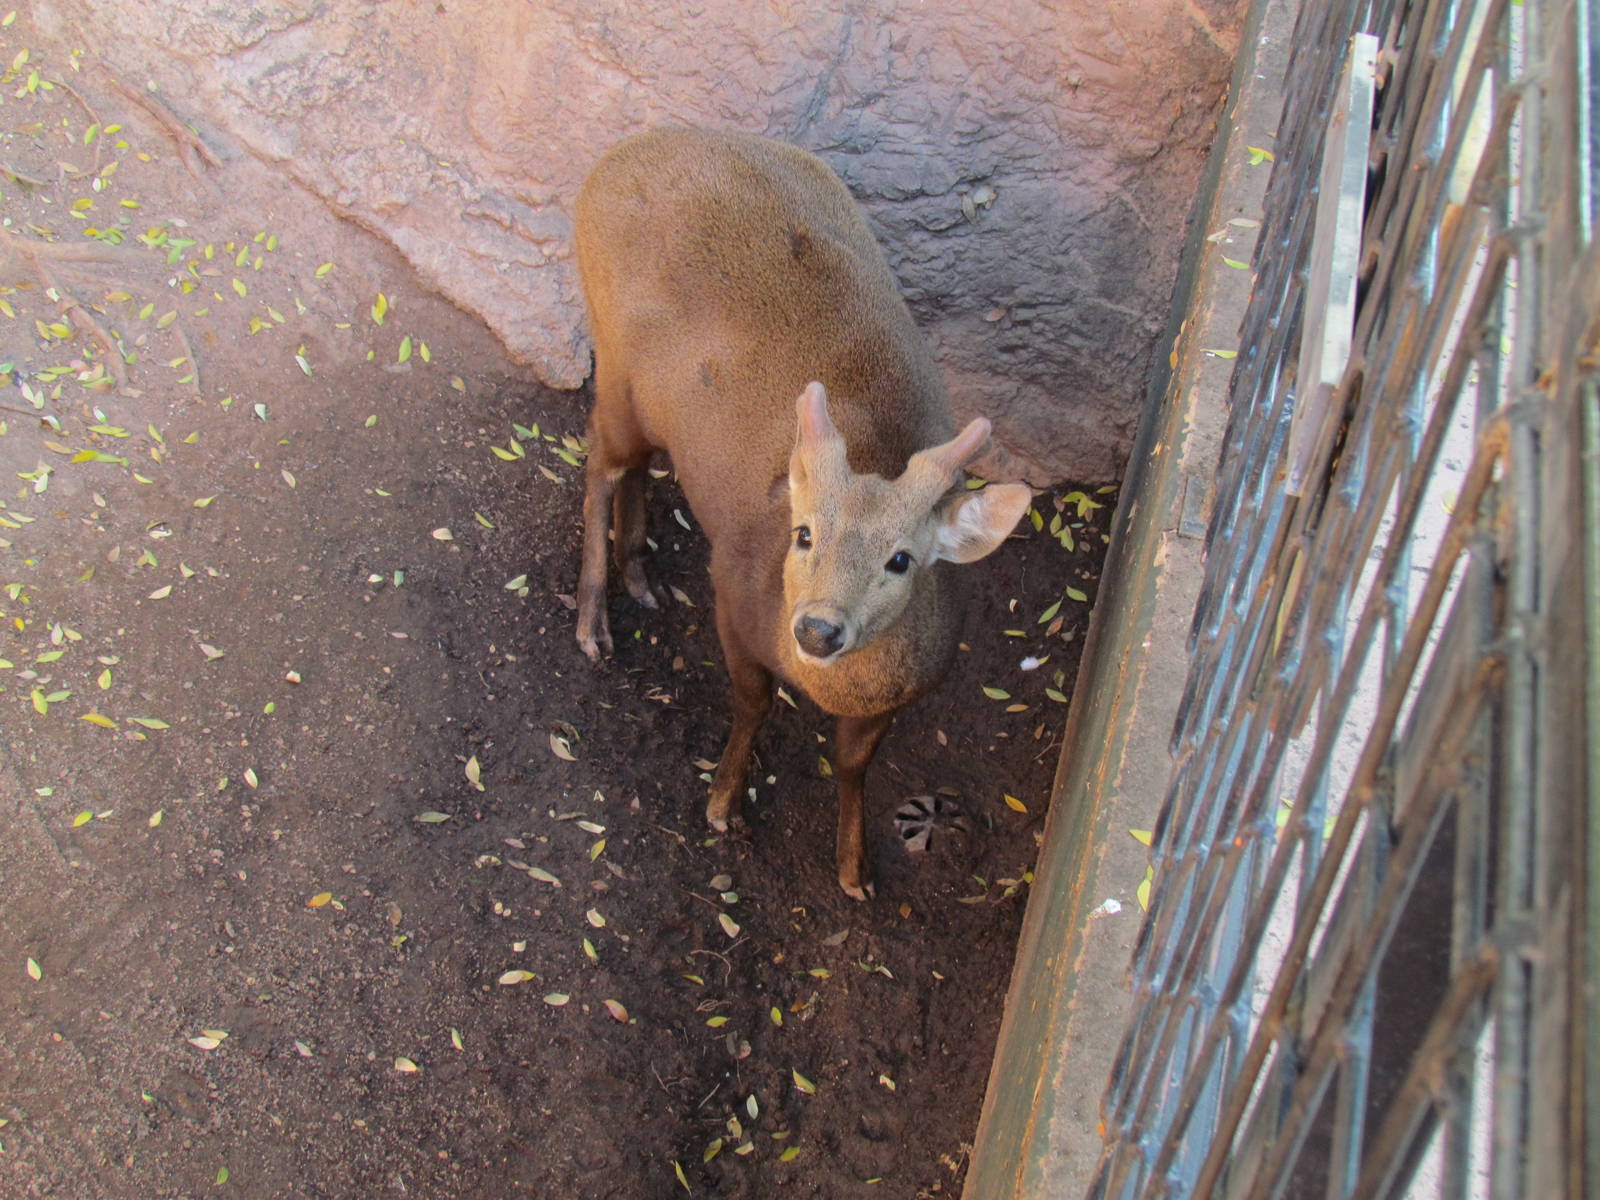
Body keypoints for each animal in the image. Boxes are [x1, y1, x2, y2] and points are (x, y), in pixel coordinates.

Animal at [572, 128, 1032, 900]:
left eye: (902, 559)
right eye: (803, 533)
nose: (817, 629)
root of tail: (606, 164)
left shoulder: (896, 699)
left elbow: (853, 766)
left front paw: (855, 869)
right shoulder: (731, 595)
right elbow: (753, 702)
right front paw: (723, 802)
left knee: (631, 468)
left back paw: (640, 577)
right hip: (616, 368)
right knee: (601, 462)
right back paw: (594, 621)